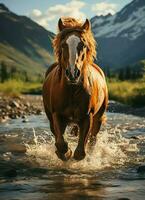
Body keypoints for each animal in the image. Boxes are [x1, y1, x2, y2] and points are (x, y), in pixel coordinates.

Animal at [42, 17, 107, 161]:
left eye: (82, 45)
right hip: (51, 118)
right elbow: (60, 143)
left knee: (93, 139)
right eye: (63, 45)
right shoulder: (57, 115)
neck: (72, 91)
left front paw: (73, 154)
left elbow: (80, 152)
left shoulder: (87, 117)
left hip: (98, 117)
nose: (73, 73)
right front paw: (65, 153)